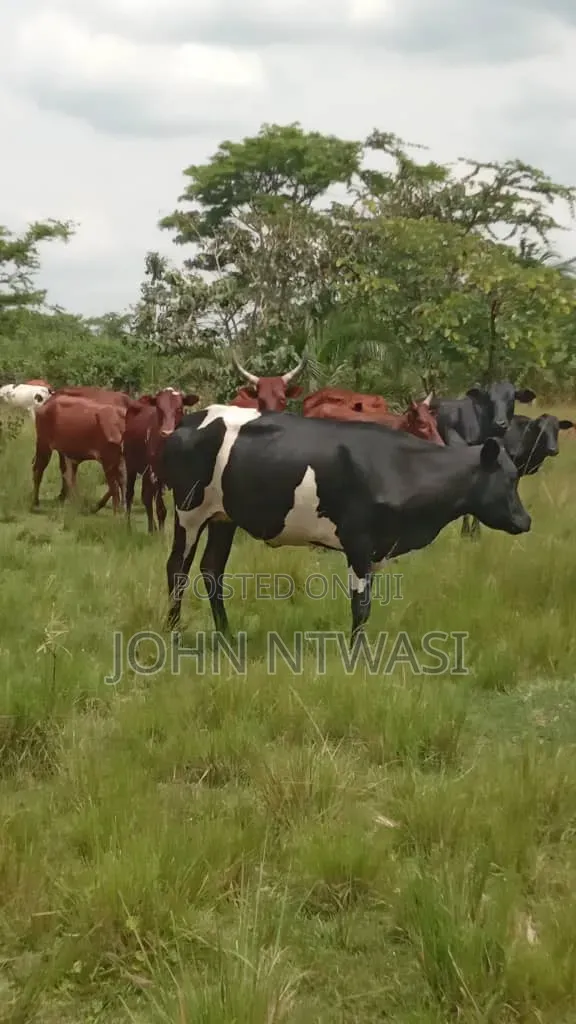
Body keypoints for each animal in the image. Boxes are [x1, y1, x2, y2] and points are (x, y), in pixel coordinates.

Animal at [160, 405, 531, 647]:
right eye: (510, 478)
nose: (526, 521)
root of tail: (189, 420)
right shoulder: (359, 541)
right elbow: (361, 605)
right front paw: (357, 655)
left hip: (224, 518)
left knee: (212, 568)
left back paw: (225, 634)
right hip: (188, 511)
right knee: (178, 567)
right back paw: (173, 633)